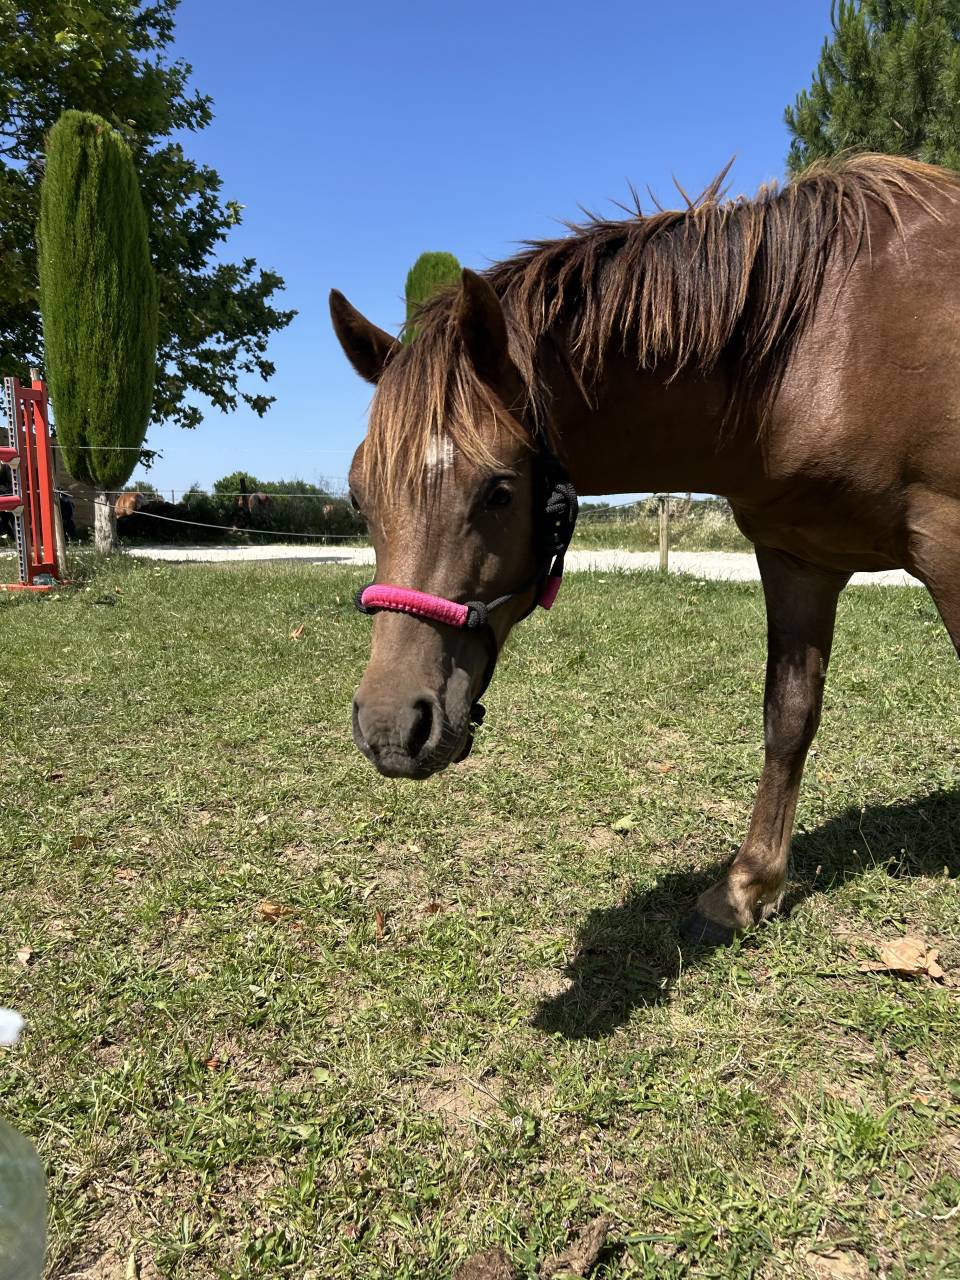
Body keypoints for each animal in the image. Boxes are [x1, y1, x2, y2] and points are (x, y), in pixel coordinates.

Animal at [329, 154, 960, 943]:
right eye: (360, 497)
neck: (823, 349)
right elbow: (788, 717)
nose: (390, 728)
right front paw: (747, 889)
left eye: (499, 491)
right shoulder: (800, 560)